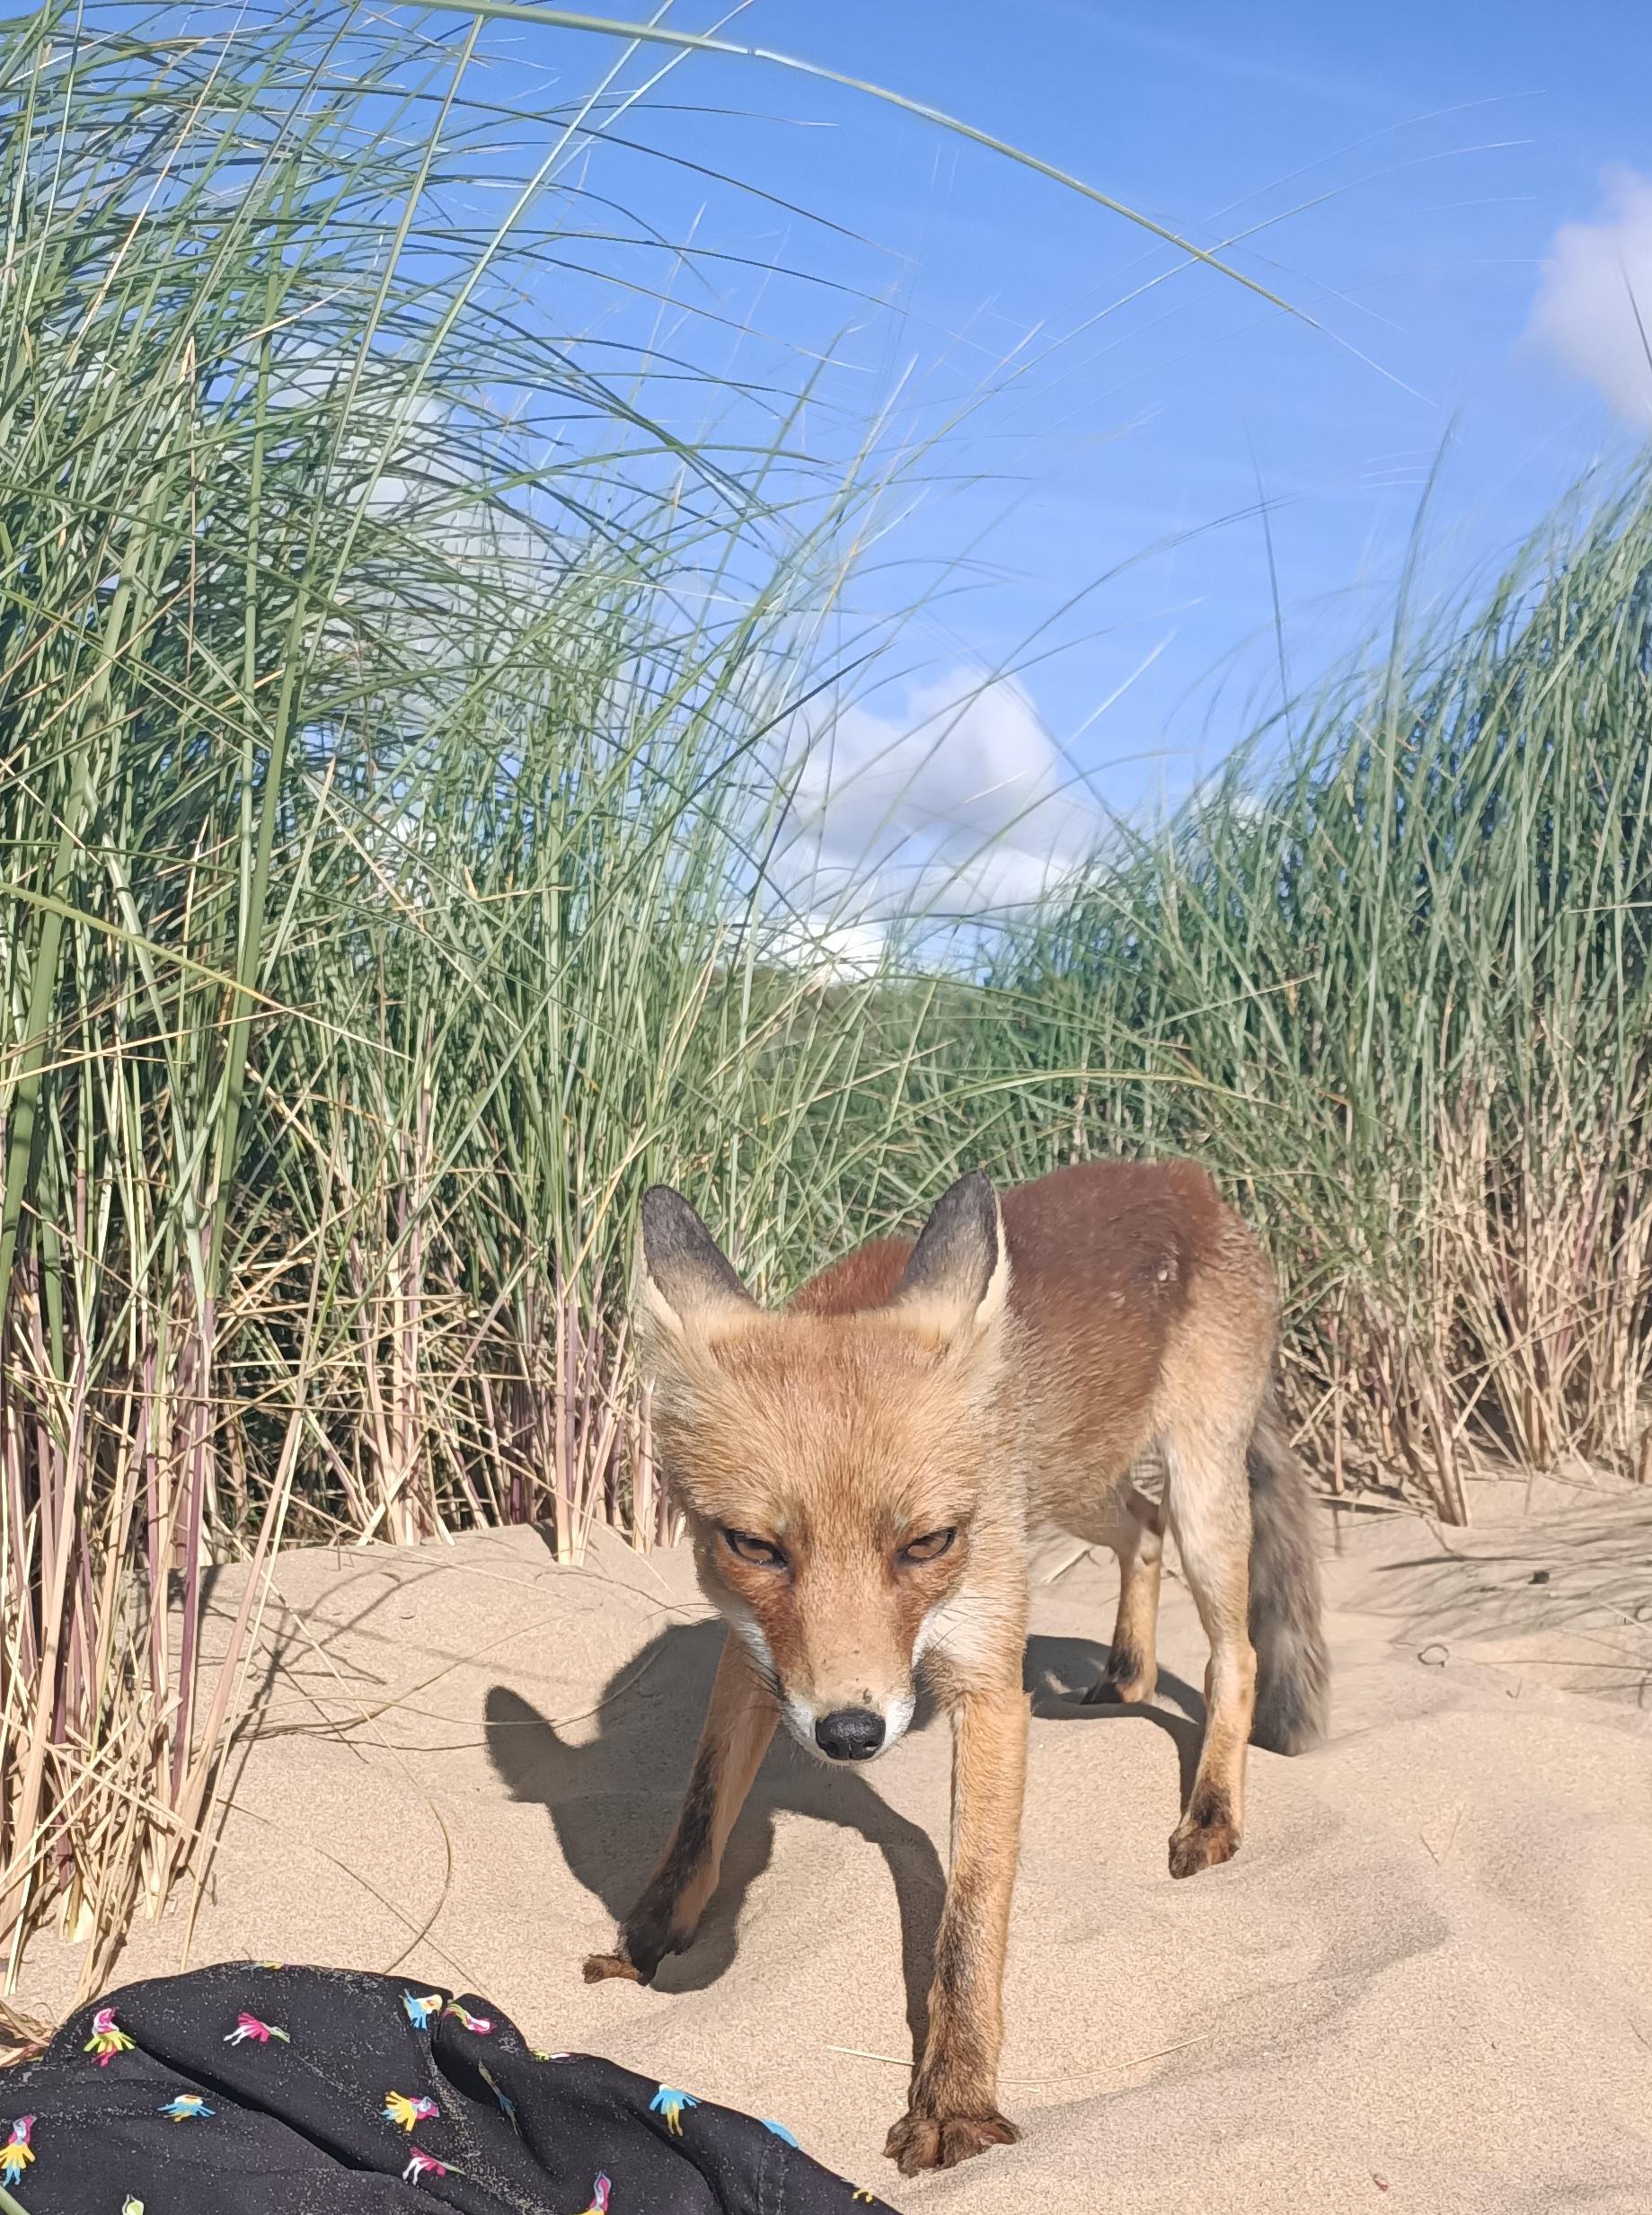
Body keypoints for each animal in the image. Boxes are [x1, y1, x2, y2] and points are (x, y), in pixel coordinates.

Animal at [579, 1160, 1329, 2179]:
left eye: (927, 1542)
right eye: (756, 1546)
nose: (851, 1733)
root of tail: (1183, 1175)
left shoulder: (988, 1680)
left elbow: (969, 1922)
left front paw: (956, 2101)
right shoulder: (757, 1657)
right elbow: (697, 1821)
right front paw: (645, 1949)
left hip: (1200, 1495)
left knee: (1234, 1652)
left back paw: (1211, 1809)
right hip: (1077, 1486)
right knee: (1140, 1530)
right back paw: (1124, 1677)